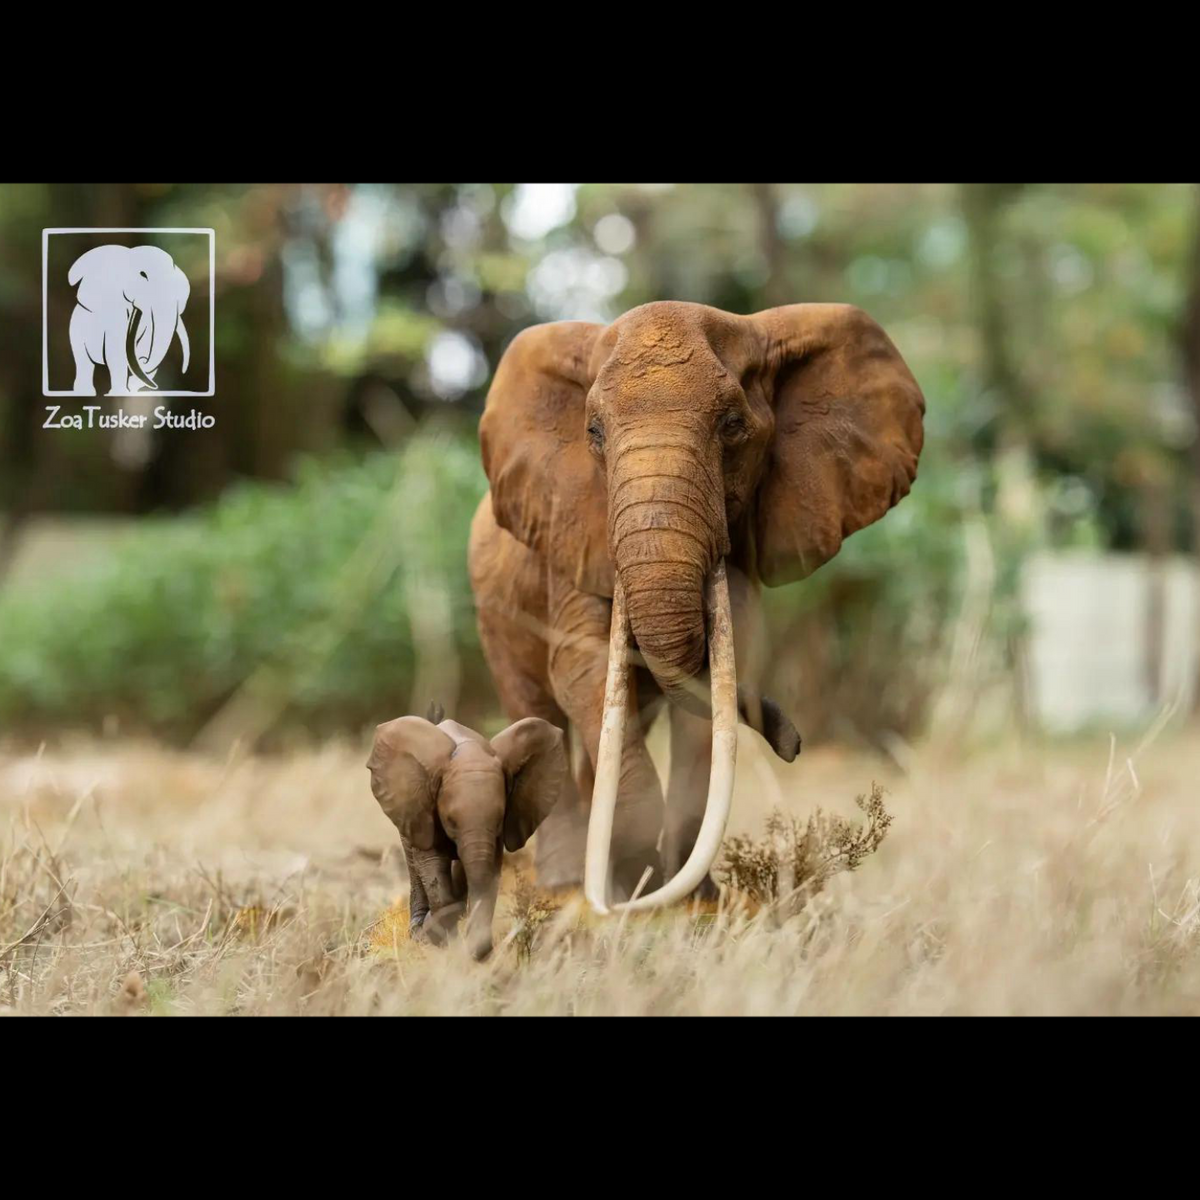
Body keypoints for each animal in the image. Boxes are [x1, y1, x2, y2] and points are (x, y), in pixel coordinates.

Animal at [366, 712, 567, 960]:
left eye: (499, 819)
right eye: (451, 820)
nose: (482, 952)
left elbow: (489, 870)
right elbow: (432, 862)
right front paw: (437, 938)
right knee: (414, 862)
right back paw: (419, 928)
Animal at [467, 300, 924, 911]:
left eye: (732, 426)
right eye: (594, 432)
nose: (794, 744)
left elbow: (715, 679)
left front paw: (693, 902)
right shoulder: (568, 533)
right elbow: (581, 664)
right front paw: (638, 886)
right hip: (494, 609)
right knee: (538, 709)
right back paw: (563, 885)